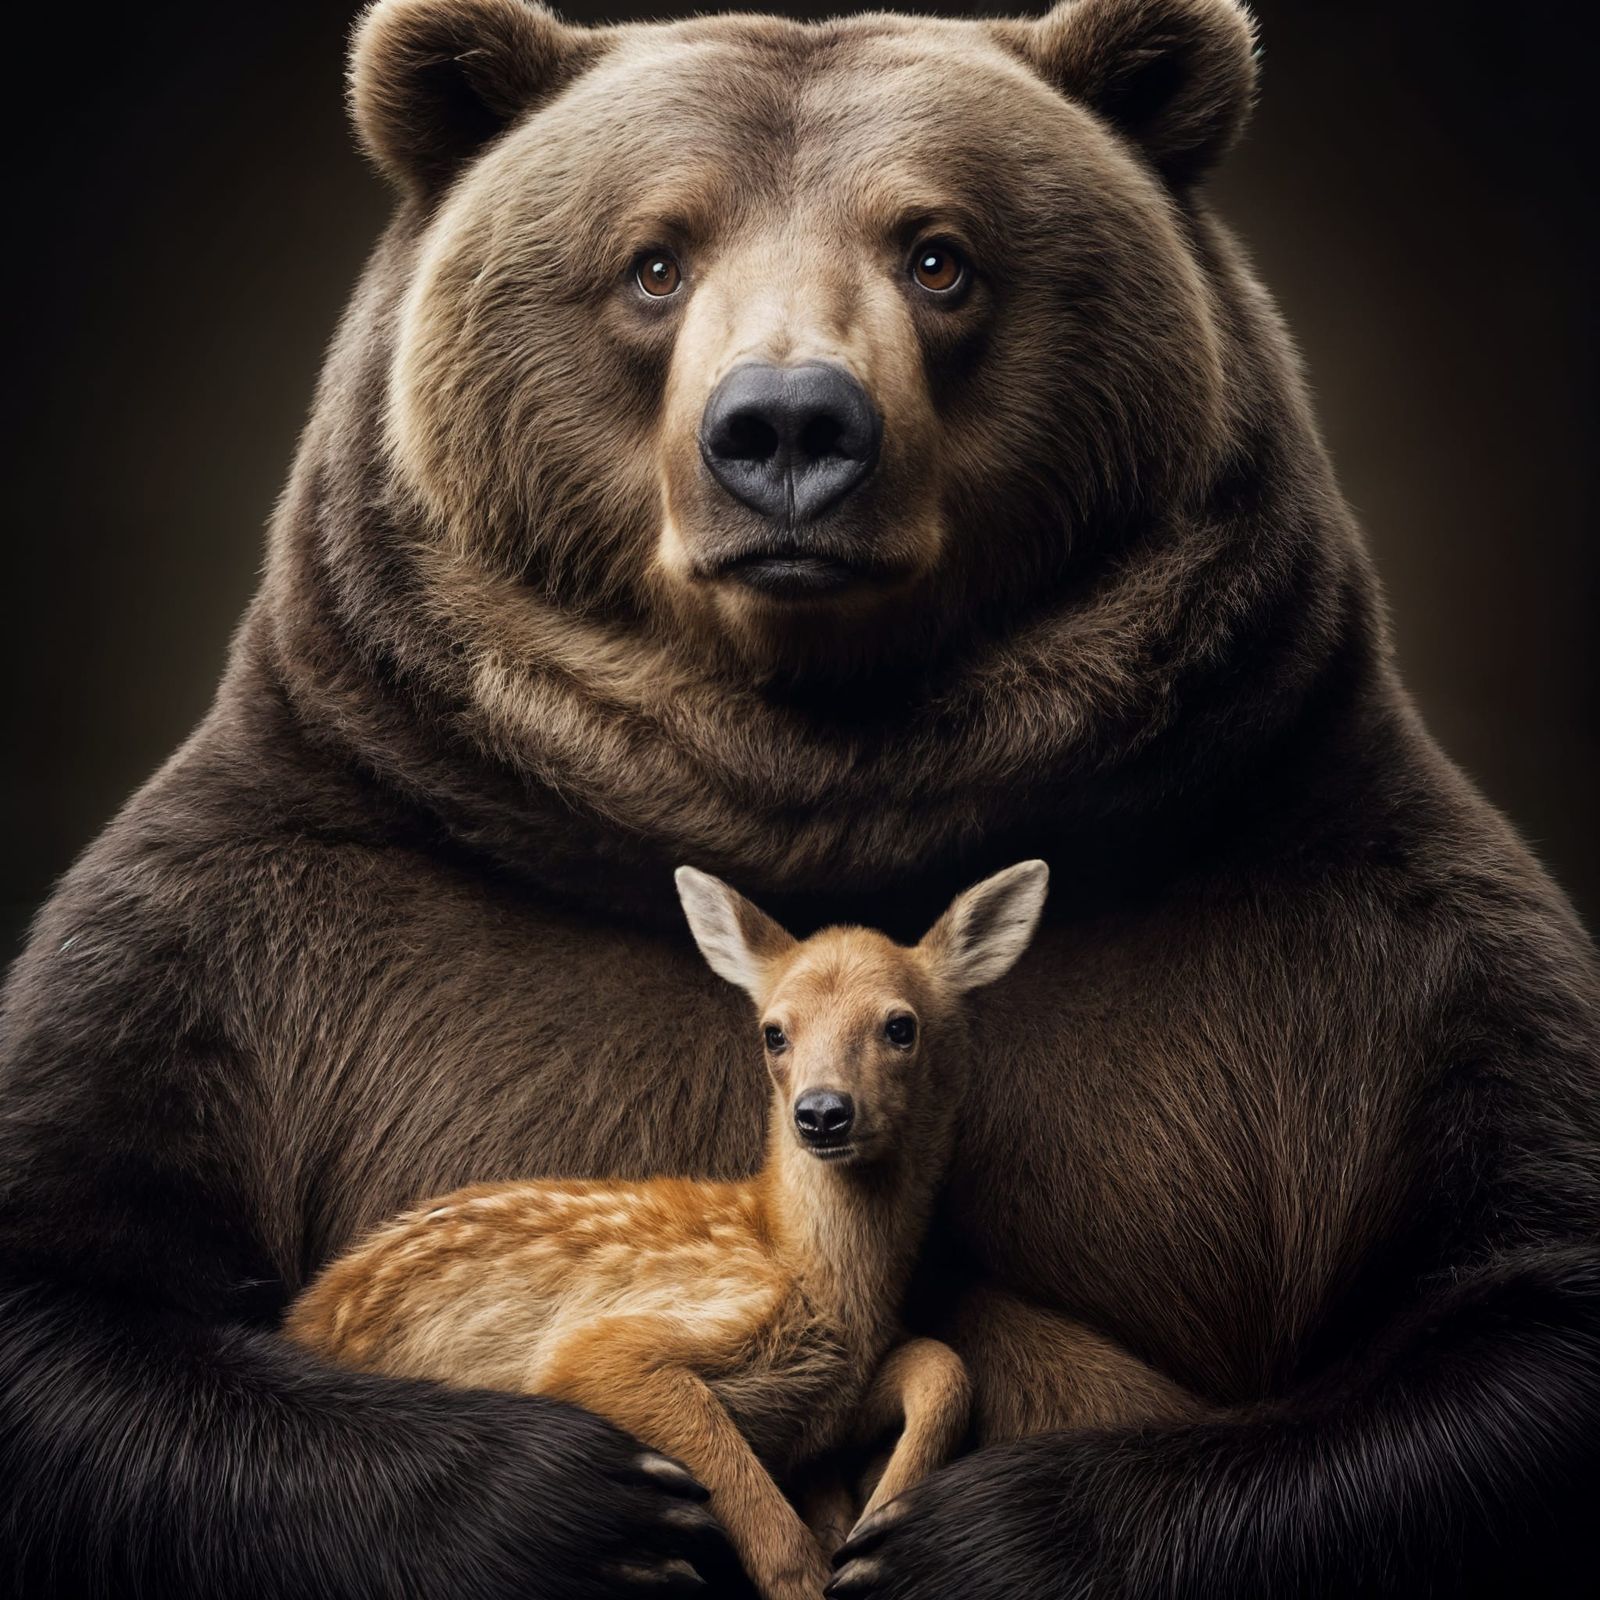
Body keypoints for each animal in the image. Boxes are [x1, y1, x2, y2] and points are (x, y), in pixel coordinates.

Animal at [284, 860, 1050, 1600]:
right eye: (774, 1032)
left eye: (901, 1026)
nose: (822, 1112)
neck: (812, 1278)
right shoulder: (621, 1335)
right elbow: (770, 1528)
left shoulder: (826, 1408)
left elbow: (942, 1367)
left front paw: (878, 1529)